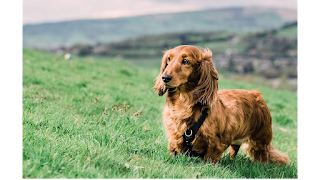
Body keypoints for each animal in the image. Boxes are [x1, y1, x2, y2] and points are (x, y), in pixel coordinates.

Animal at [152, 44, 290, 165]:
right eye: (169, 59)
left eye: (185, 61)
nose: (165, 77)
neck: (183, 103)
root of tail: (256, 94)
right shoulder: (173, 136)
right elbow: (173, 149)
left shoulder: (216, 142)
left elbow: (210, 157)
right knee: (235, 147)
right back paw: (229, 158)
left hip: (261, 138)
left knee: (263, 154)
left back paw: (261, 165)